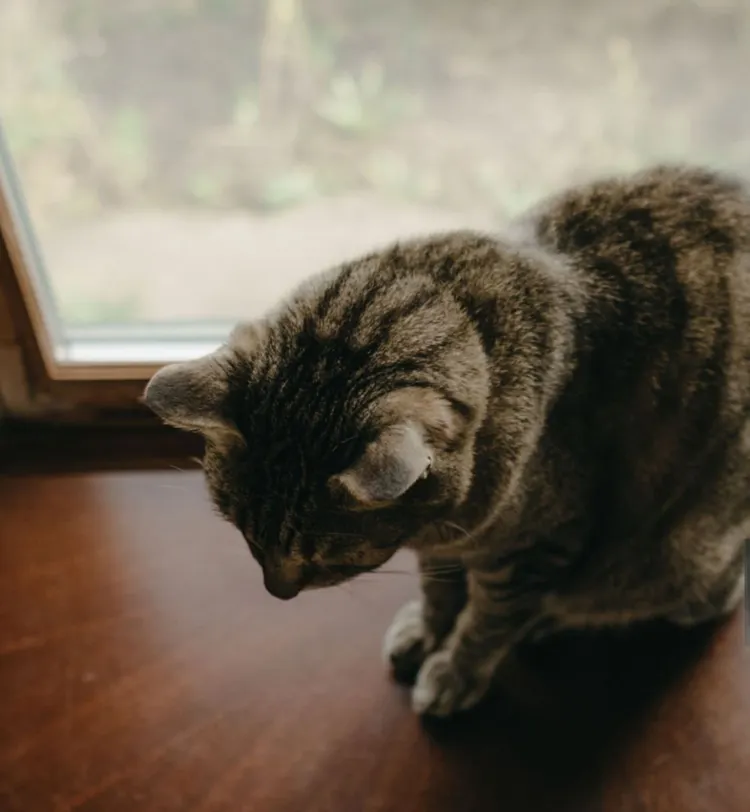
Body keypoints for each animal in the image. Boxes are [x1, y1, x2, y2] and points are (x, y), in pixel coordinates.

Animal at [144, 165, 748, 716]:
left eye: (332, 554)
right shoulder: (445, 545)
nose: (277, 592)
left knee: (705, 595)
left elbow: (486, 623)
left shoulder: (536, 546)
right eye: (243, 532)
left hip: (671, 557)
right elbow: (439, 590)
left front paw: (456, 669)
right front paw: (429, 629)